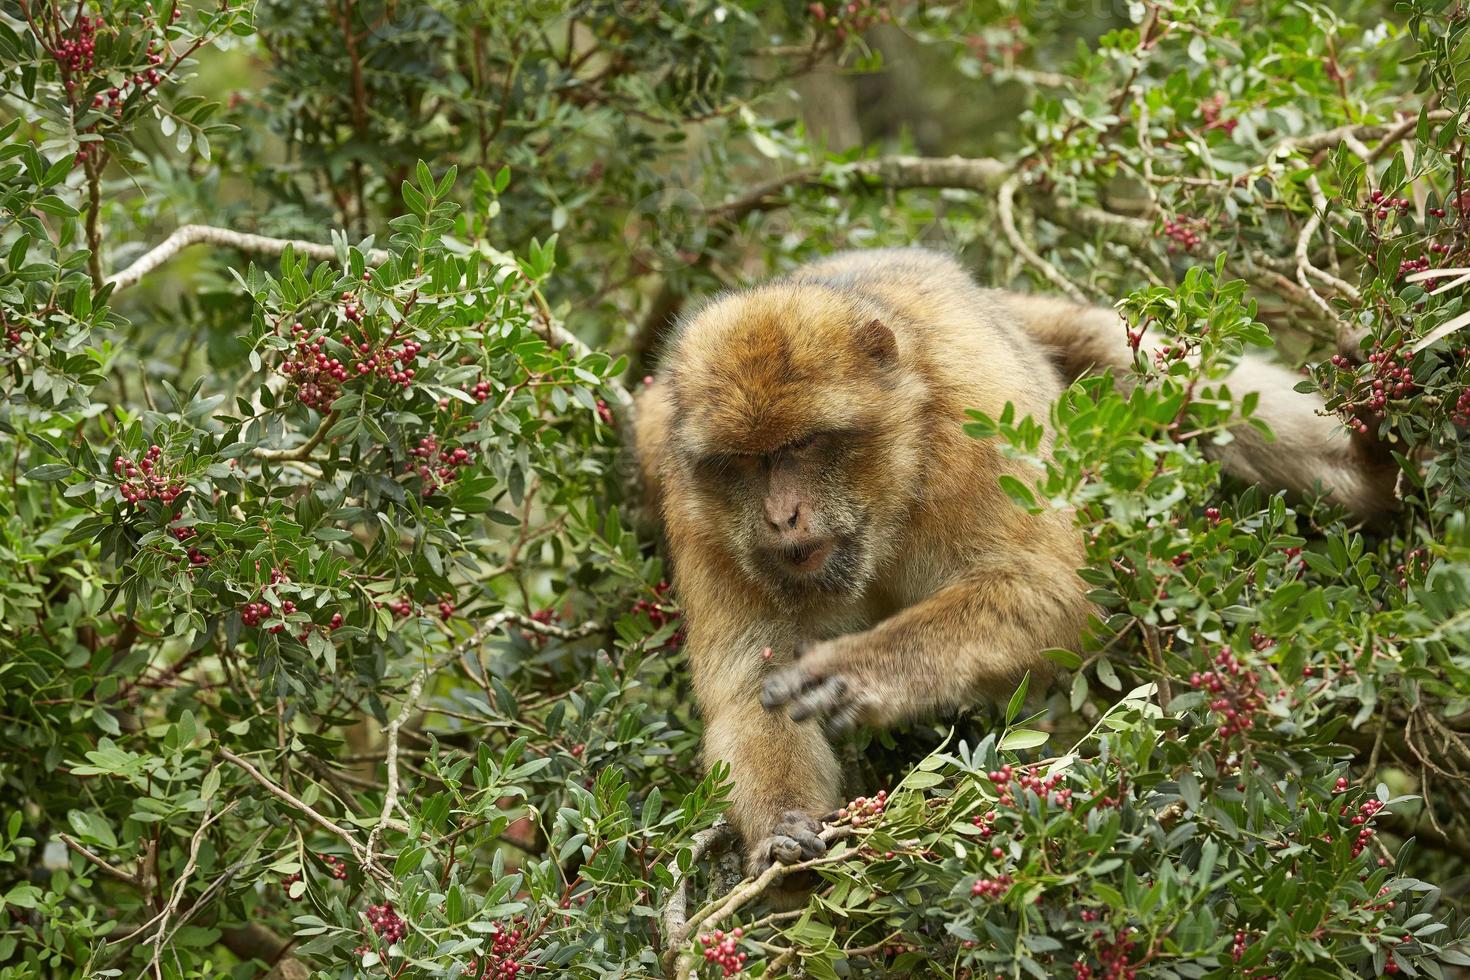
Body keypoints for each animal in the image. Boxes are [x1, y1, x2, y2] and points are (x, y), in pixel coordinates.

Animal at [632, 249, 1387, 875]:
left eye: (803, 445)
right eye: (743, 464)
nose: (780, 517)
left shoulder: (979, 422)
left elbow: (1053, 589)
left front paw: (861, 673)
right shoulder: (698, 512)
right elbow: (746, 688)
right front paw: (780, 836)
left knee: (1126, 355)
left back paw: (1370, 470)